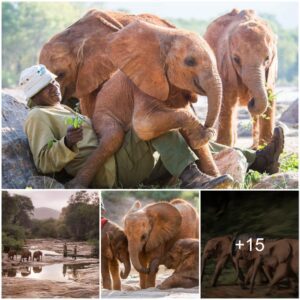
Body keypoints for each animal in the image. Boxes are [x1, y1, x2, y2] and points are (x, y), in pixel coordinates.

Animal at [65, 19, 225, 188]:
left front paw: (219, 180)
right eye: (190, 62)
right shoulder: (142, 86)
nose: (207, 129)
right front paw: (200, 137)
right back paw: (75, 185)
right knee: (113, 137)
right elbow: (143, 123)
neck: (166, 39)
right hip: (101, 116)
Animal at [205, 9, 278, 148]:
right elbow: (227, 97)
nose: (251, 101)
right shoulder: (224, 65)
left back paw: (254, 147)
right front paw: (224, 145)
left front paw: (265, 147)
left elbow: (269, 95)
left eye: (267, 58)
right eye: (236, 59)